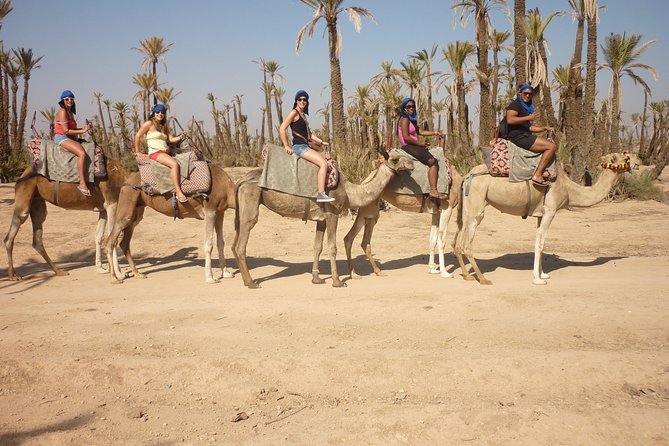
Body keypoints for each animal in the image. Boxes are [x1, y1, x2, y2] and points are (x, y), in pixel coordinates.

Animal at [104, 163, 236, 284]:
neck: (227, 188)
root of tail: (126, 182)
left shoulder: (220, 212)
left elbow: (221, 243)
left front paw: (226, 273)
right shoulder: (210, 210)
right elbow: (209, 244)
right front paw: (210, 278)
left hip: (136, 211)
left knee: (124, 243)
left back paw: (137, 274)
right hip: (127, 203)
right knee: (110, 241)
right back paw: (115, 278)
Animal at [232, 151, 414, 288]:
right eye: (395, 159)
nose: (412, 163)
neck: (350, 191)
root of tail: (241, 179)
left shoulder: (321, 219)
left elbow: (317, 247)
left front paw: (317, 279)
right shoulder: (333, 214)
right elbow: (332, 247)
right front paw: (337, 281)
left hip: (241, 209)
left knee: (235, 242)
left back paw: (246, 280)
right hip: (251, 197)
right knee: (243, 239)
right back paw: (251, 283)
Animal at [453, 152, 635, 285]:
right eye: (624, 158)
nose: (636, 161)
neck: (569, 189)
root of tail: (467, 175)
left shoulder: (541, 214)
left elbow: (540, 241)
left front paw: (543, 274)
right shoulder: (550, 211)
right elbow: (540, 244)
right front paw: (538, 279)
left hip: (467, 209)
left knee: (459, 240)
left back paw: (467, 275)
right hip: (476, 206)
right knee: (467, 243)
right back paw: (483, 279)